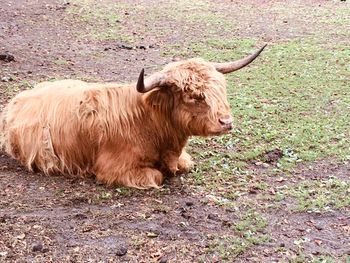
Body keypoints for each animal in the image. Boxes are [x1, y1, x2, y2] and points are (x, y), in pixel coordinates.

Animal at [0, 46, 266, 190]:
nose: (226, 122)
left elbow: (186, 164)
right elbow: (157, 176)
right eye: (192, 95)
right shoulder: (113, 169)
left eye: (220, 88)